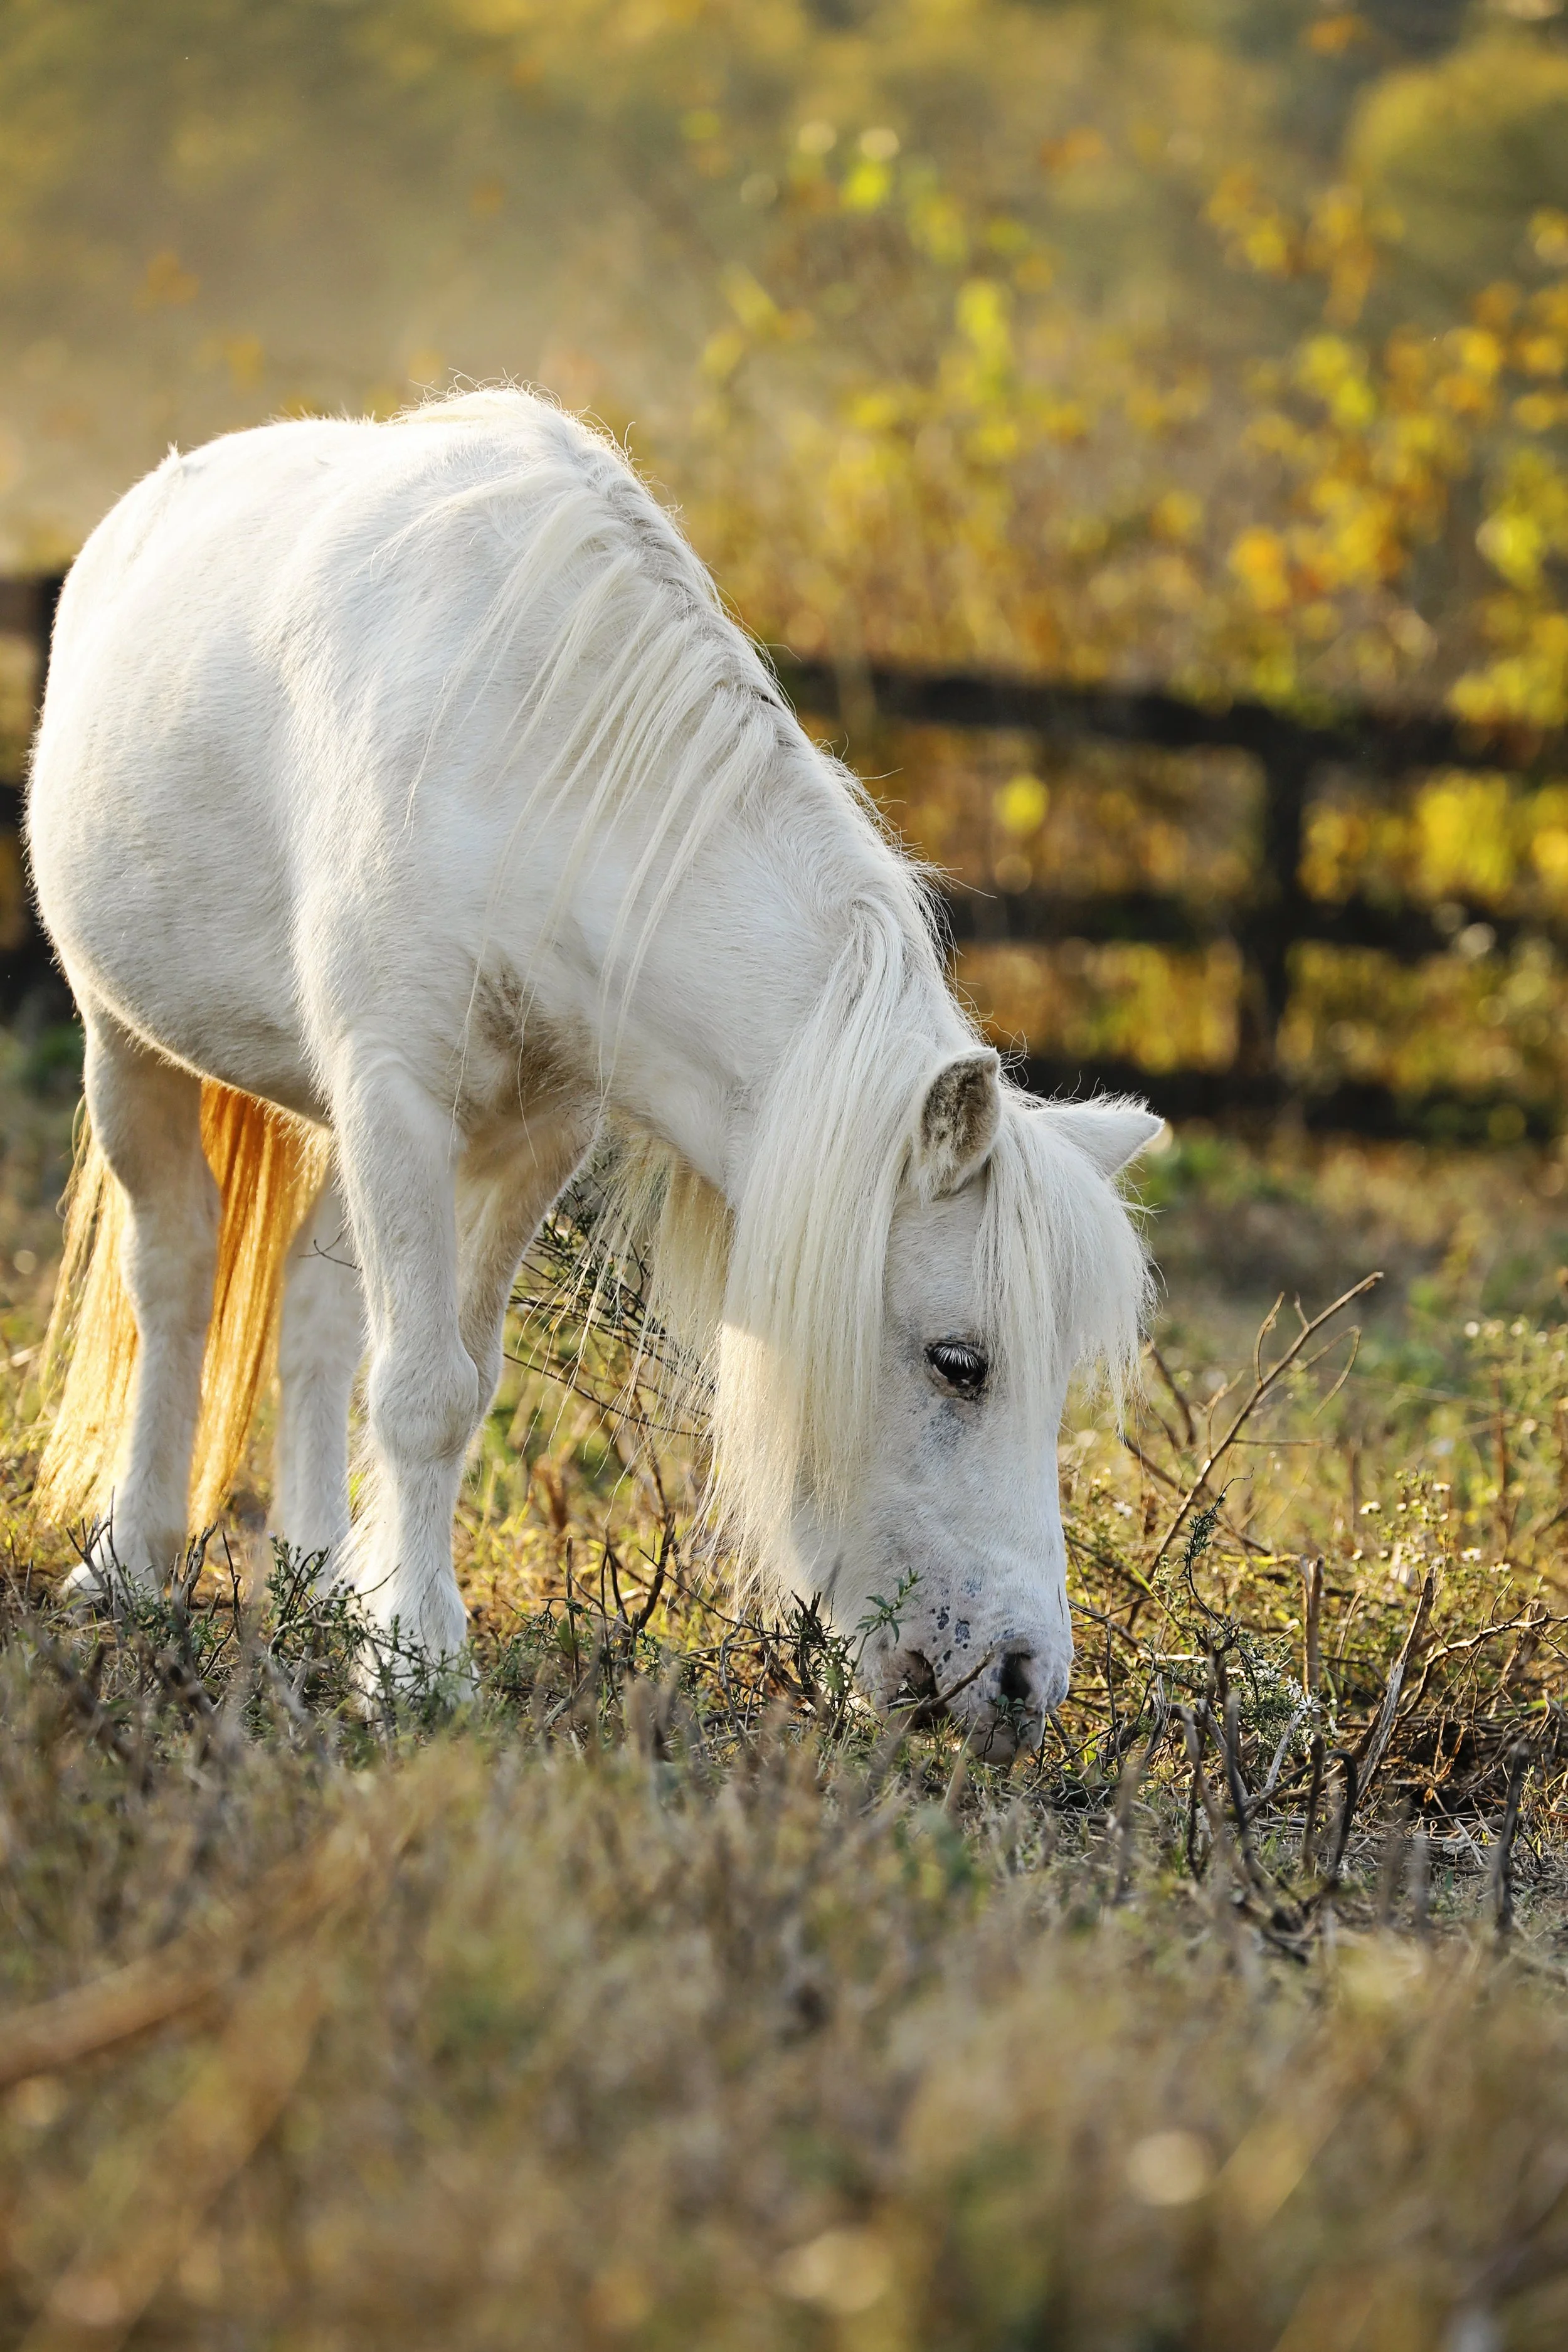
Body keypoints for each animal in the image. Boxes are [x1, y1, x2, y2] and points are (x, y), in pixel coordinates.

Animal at [26, 387, 1159, 1750]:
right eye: (959, 1363)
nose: (1022, 1684)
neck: (527, 766)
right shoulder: (396, 1097)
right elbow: (423, 1392)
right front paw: (420, 1670)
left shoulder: (531, 1134)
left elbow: (455, 1381)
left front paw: (383, 1624)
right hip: (126, 1044)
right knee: (178, 1279)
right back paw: (130, 1564)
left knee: (313, 1318)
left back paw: (313, 1575)